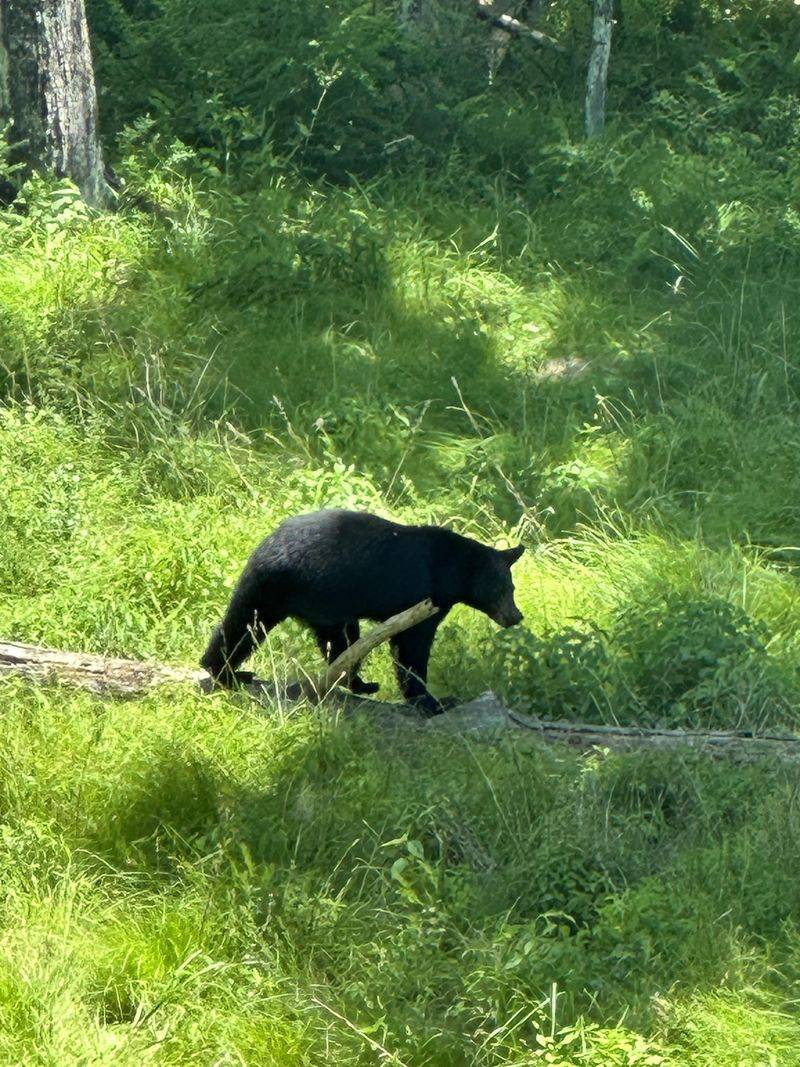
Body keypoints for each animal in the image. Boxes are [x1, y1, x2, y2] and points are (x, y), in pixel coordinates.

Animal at [201, 508, 524, 715]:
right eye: (503, 589)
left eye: (512, 588)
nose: (516, 616)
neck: (453, 569)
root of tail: (265, 549)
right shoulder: (424, 597)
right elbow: (412, 647)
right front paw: (434, 701)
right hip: (296, 590)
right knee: (247, 625)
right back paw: (227, 673)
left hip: (303, 600)